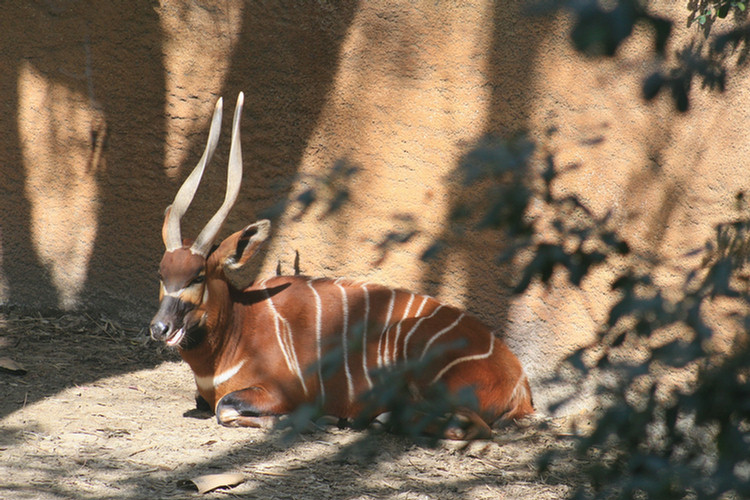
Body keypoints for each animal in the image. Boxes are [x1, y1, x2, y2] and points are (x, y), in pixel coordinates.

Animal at [148, 94, 536, 438]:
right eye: (162, 273)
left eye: (198, 275)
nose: (159, 328)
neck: (238, 329)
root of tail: (520, 381)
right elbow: (208, 404)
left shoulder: (282, 391)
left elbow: (224, 408)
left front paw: (309, 421)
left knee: (474, 427)